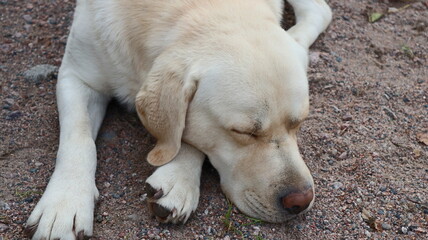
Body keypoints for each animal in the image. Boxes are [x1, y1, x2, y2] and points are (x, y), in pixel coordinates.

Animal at [24, 0, 332, 238]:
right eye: (243, 132)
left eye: (299, 123)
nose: (300, 201)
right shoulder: (76, 76)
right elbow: (79, 139)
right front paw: (64, 203)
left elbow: (186, 133)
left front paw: (177, 178)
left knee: (320, 10)